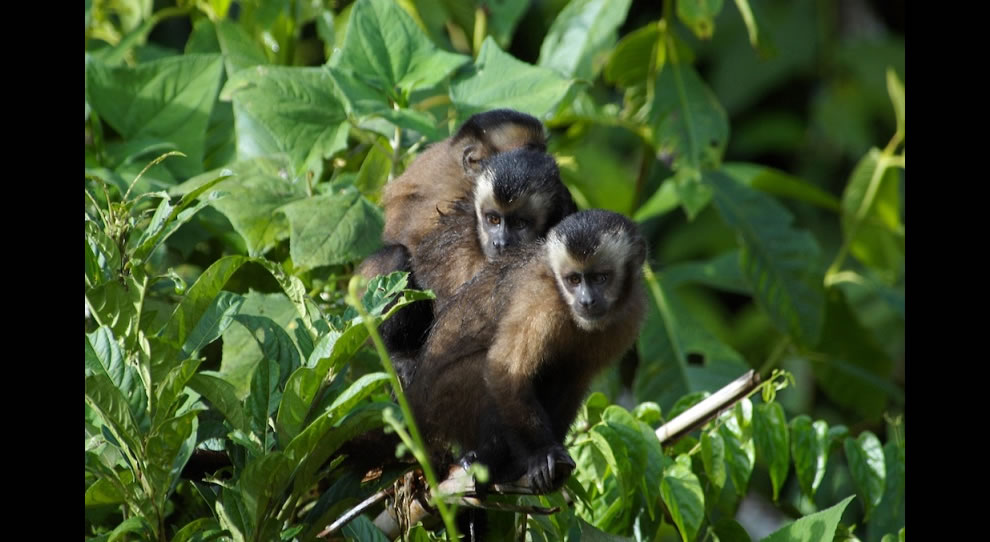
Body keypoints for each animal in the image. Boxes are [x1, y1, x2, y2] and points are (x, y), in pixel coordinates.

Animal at [404, 210, 652, 500]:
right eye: (574, 280)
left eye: (600, 278)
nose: (586, 301)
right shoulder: (538, 301)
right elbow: (504, 371)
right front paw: (541, 455)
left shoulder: (629, 318)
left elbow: (574, 381)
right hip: (437, 404)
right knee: (480, 368)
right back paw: (486, 459)